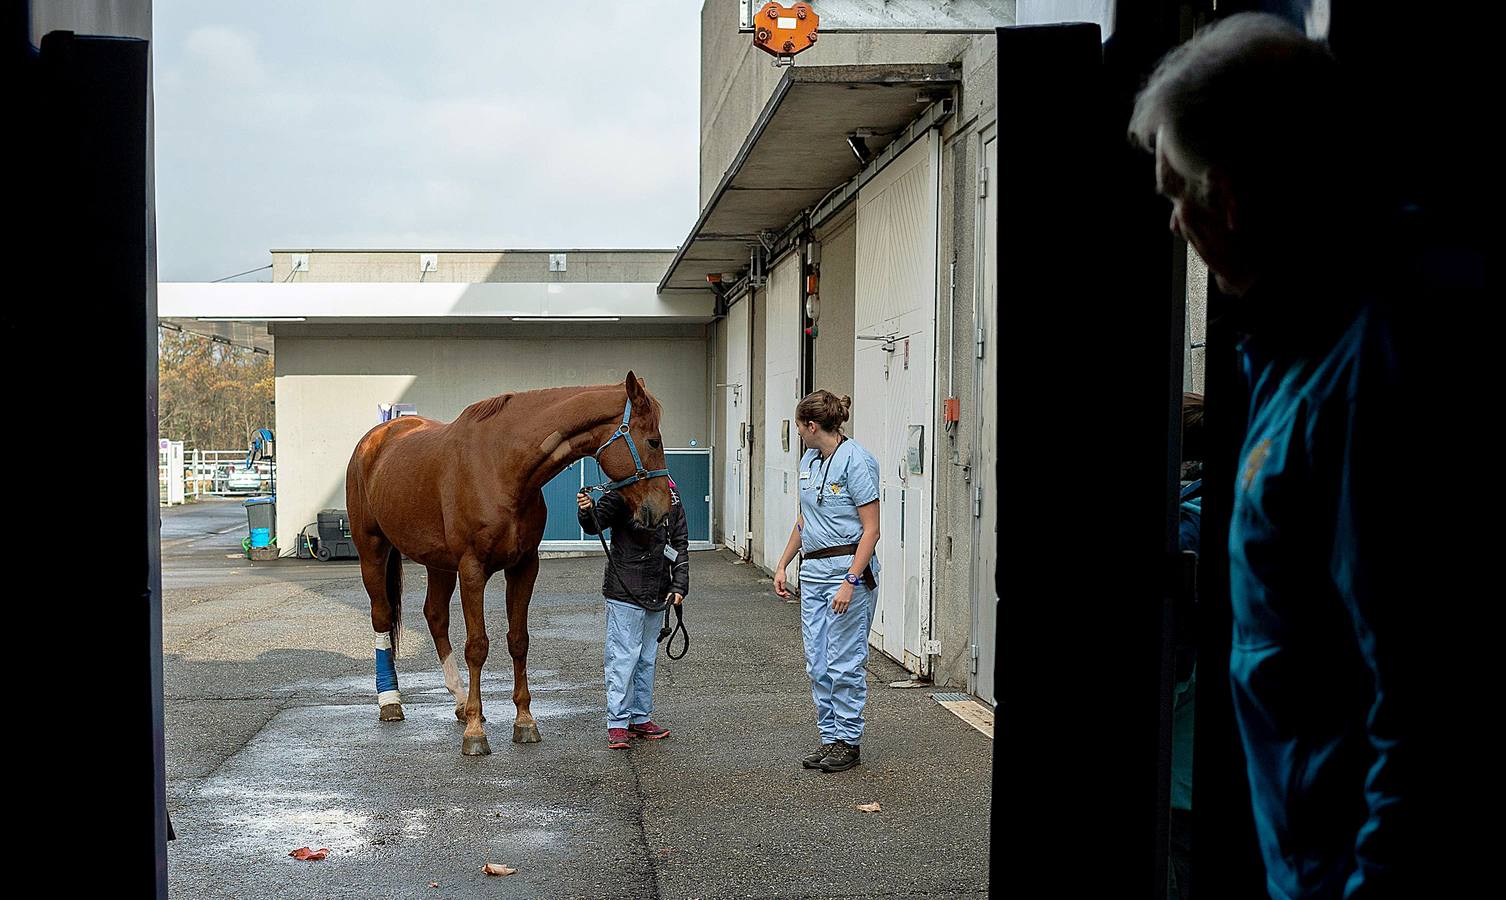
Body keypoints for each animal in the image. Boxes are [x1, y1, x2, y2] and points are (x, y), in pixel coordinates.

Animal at [346, 371, 671, 755]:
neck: (501, 465)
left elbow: (519, 640)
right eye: (653, 441)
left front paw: (524, 721)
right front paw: (475, 733)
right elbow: (477, 646)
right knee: (382, 616)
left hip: (438, 562)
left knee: (435, 616)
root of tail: (377, 437)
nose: (662, 508)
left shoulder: (524, 567)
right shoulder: (472, 569)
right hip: (372, 549)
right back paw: (391, 701)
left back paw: (459, 700)